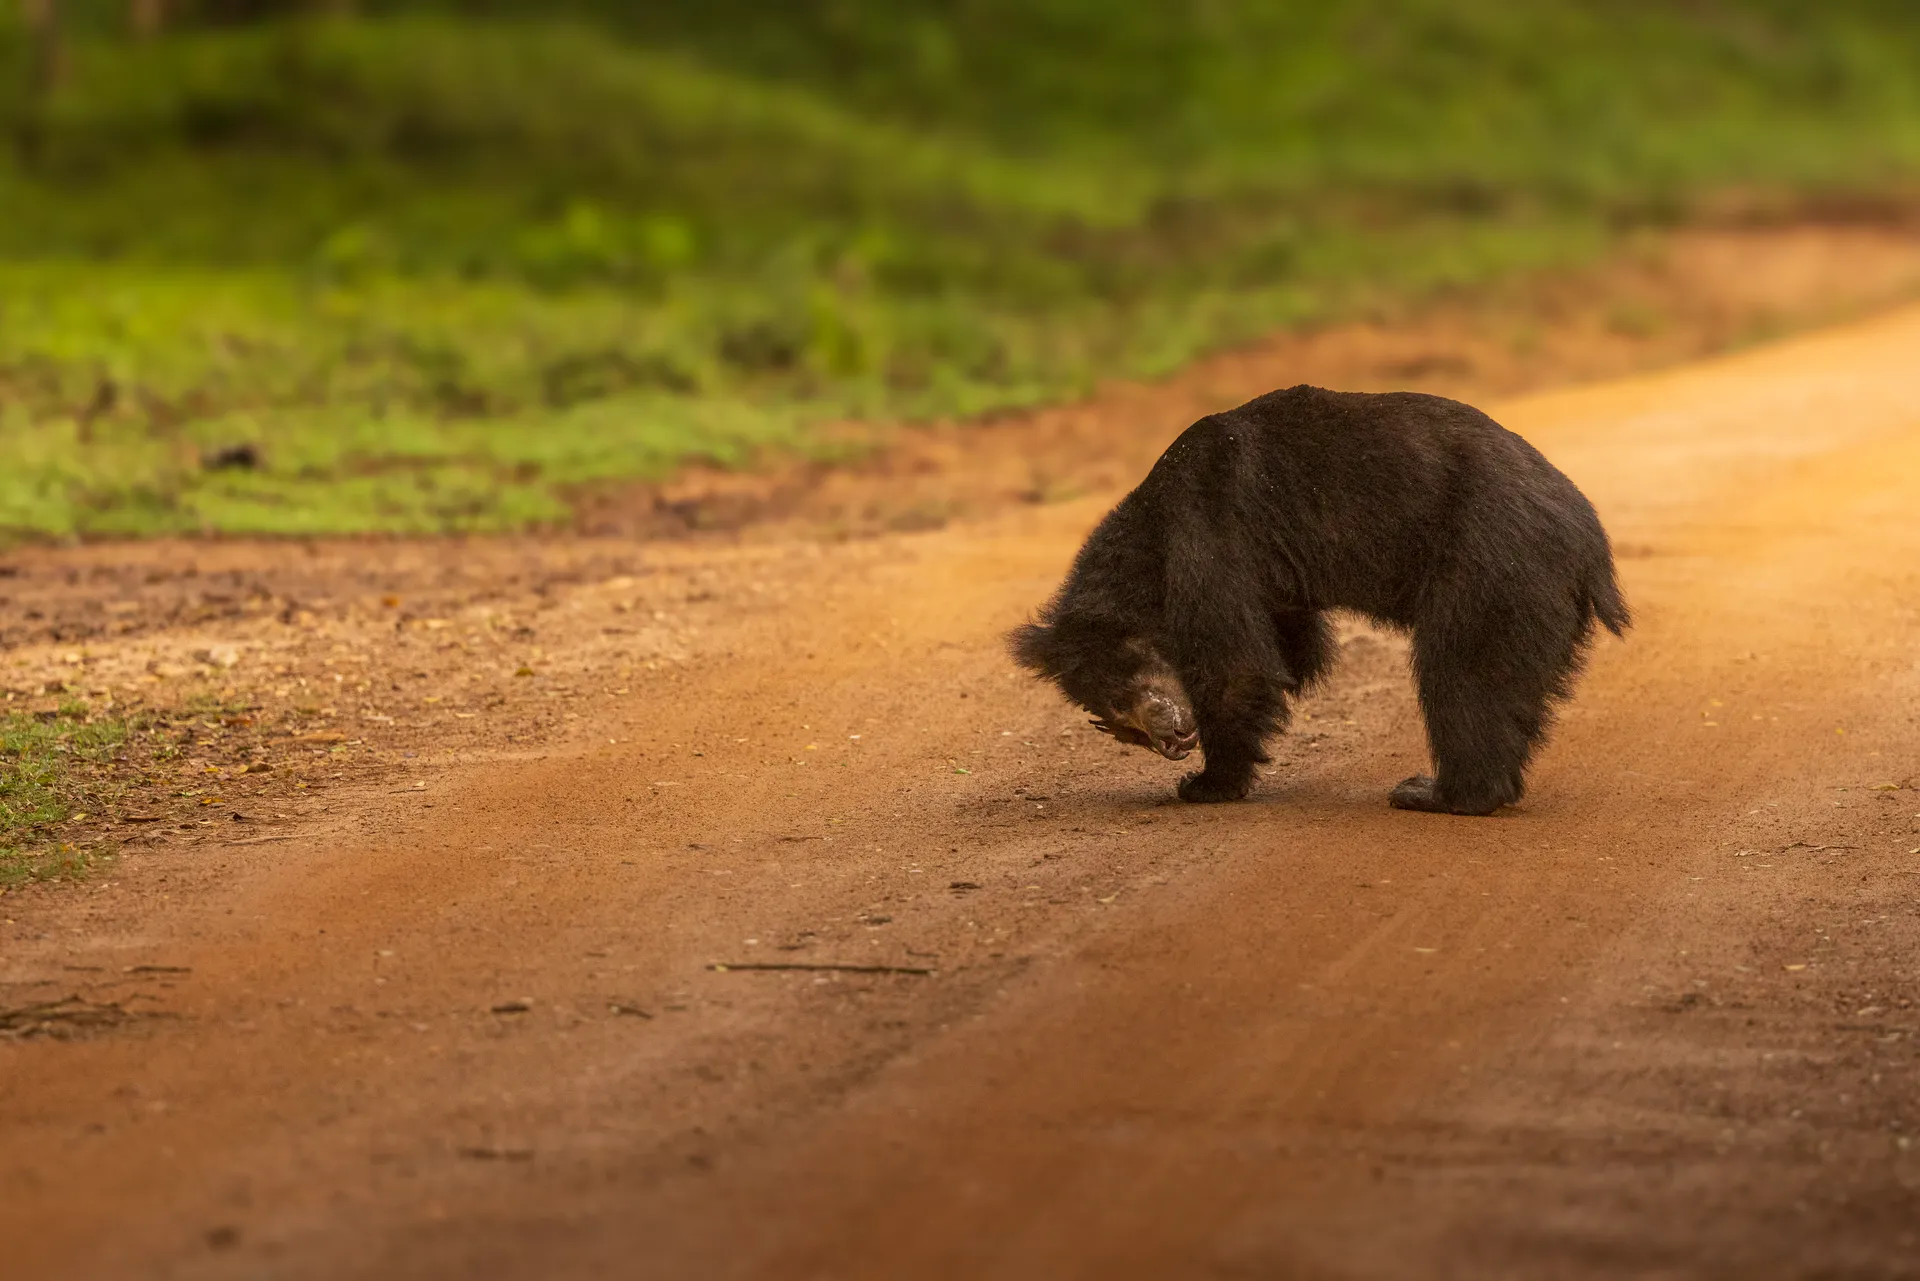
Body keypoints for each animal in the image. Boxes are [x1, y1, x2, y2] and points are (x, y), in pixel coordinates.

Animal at [1009, 385, 1628, 813]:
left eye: (1132, 685)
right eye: (1119, 722)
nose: (1171, 740)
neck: (1147, 538)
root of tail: (1590, 539)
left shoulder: (1208, 536)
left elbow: (1236, 665)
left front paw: (1208, 784)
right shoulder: (1273, 587)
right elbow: (1293, 649)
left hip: (1495, 566)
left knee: (1464, 674)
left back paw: (1437, 793)